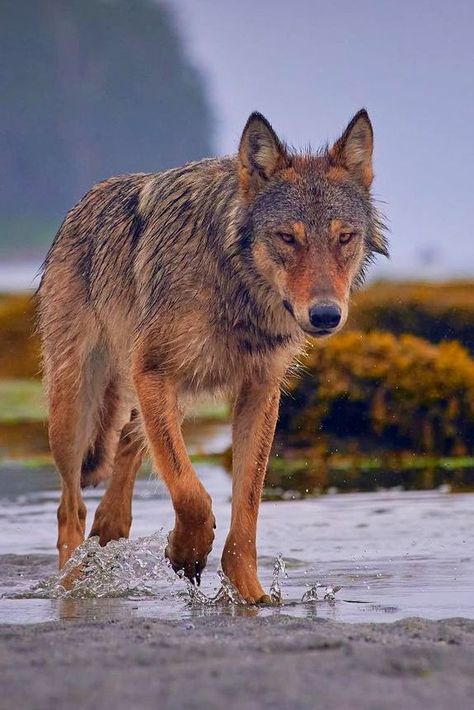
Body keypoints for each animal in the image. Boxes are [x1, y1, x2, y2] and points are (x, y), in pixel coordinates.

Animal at [39, 108, 386, 604]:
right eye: (287, 237)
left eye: (344, 237)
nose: (325, 315)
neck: (237, 290)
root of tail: (82, 203)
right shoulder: (154, 372)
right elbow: (192, 494)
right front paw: (186, 552)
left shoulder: (259, 391)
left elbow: (246, 509)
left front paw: (251, 595)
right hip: (74, 408)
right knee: (70, 506)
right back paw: (70, 586)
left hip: (163, 396)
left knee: (127, 441)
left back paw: (110, 528)